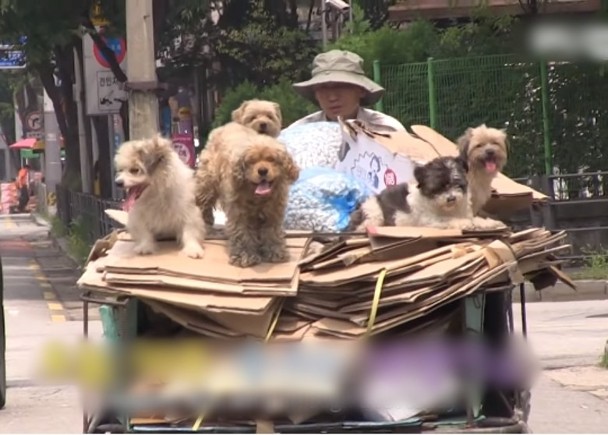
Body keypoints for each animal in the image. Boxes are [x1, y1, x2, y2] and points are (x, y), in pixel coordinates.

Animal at [195, 121, 300, 268]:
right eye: (251, 161)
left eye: (272, 159)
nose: (262, 170)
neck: (257, 196)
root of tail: (225, 125)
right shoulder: (239, 213)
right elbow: (242, 234)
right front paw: (245, 256)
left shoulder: (273, 212)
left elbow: (272, 232)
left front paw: (275, 252)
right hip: (208, 183)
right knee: (204, 205)